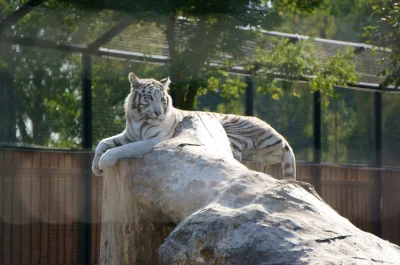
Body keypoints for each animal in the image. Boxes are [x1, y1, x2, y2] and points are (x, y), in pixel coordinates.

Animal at [92, 72, 296, 179]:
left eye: (162, 99)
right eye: (149, 98)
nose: (158, 112)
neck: (139, 118)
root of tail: (283, 139)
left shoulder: (155, 141)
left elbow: (123, 149)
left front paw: (105, 161)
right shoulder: (128, 135)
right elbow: (103, 143)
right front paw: (96, 167)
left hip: (230, 129)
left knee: (233, 156)